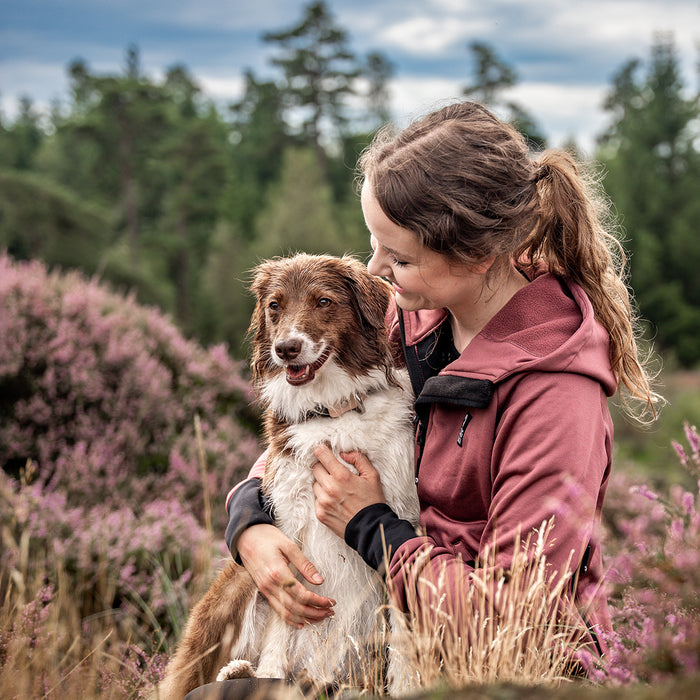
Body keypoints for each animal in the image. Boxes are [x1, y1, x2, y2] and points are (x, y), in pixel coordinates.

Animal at [157, 254, 418, 696]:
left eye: (324, 301)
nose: (285, 349)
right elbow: (281, 623)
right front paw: (268, 676)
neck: (334, 413)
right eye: (275, 306)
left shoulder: (401, 513)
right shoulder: (289, 527)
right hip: (243, 576)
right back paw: (240, 672)